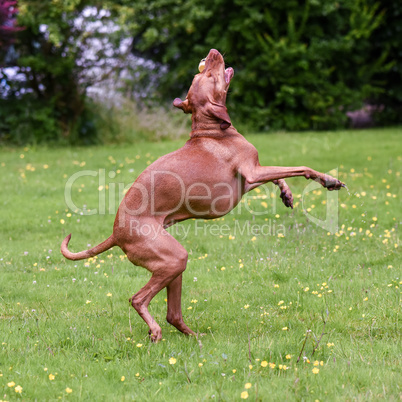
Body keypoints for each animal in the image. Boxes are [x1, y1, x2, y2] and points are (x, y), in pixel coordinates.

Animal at [61, 48, 344, 340]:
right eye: (207, 74)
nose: (212, 52)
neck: (212, 129)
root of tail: (116, 233)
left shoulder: (249, 178)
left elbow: (281, 175)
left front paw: (287, 194)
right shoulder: (253, 171)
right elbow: (301, 168)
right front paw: (328, 180)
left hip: (173, 266)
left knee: (173, 313)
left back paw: (193, 336)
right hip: (173, 259)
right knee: (138, 299)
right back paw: (155, 331)